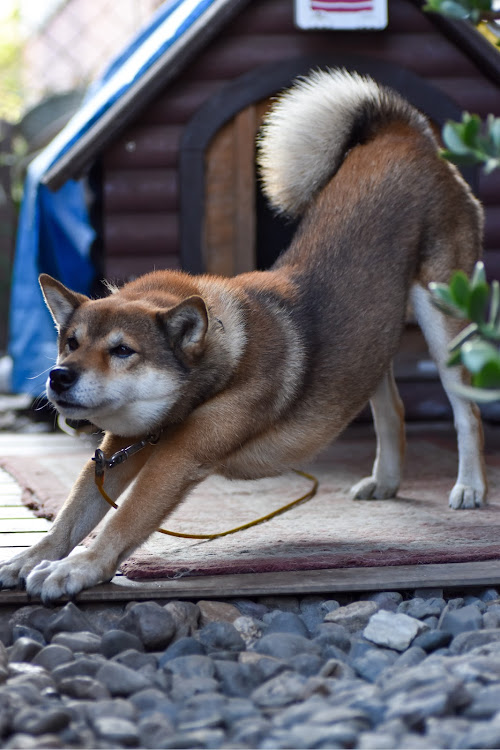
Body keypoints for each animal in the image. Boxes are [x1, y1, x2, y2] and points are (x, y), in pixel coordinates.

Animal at [0, 67, 484, 604]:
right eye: (71, 342)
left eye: (122, 350)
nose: (59, 377)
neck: (215, 370)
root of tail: (402, 135)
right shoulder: (117, 451)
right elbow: (71, 516)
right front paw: (31, 557)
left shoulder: (177, 457)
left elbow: (120, 522)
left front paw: (77, 568)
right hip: (369, 340)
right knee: (391, 409)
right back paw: (386, 481)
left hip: (443, 319)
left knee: (467, 412)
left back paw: (469, 487)